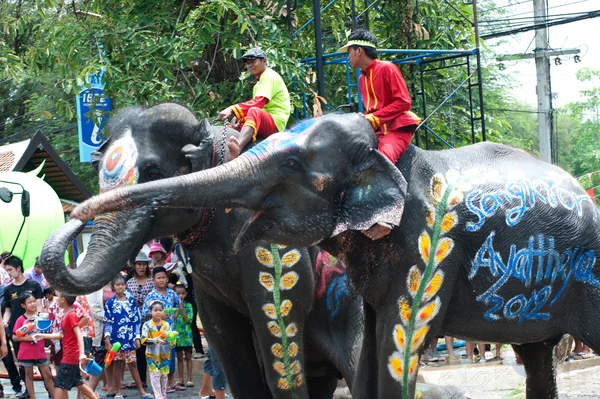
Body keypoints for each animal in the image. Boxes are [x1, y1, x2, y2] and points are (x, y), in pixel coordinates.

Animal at [41, 105, 366, 399]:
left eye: (153, 171)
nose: (76, 214)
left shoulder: (274, 237)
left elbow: (278, 326)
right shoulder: (209, 288)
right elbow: (225, 341)